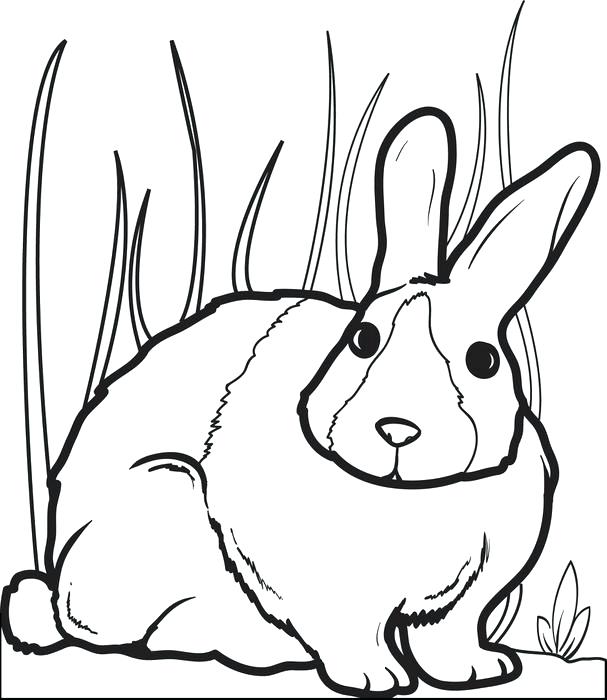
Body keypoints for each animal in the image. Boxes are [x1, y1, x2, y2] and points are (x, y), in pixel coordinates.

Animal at [2, 107, 599, 698]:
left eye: (484, 359)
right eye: (363, 339)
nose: (398, 429)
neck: (409, 494)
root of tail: (56, 587)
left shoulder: (463, 598)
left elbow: (447, 636)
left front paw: (478, 671)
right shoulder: (322, 586)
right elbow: (350, 633)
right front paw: (376, 679)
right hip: (162, 500)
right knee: (143, 634)